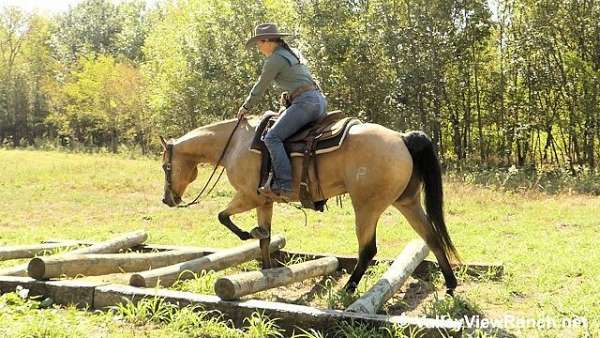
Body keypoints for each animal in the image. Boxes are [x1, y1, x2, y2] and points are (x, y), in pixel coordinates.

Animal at [158, 115, 460, 294]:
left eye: (165, 166)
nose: (167, 199)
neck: (234, 144)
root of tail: (401, 137)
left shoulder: (248, 196)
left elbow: (223, 216)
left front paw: (247, 234)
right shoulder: (264, 201)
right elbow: (265, 239)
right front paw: (267, 269)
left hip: (366, 207)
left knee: (368, 250)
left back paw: (348, 288)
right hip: (407, 202)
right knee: (432, 237)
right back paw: (450, 284)